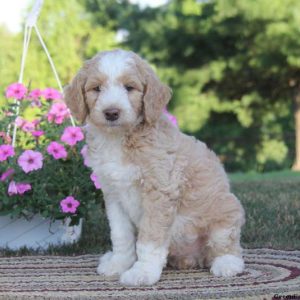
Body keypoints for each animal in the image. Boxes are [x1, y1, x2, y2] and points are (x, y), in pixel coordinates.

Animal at [64, 49, 245, 286]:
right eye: (96, 88)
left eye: (129, 87)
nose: (111, 112)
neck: (118, 139)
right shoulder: (113, 193)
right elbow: (120, 235)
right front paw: (119, 264)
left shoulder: (159, 192)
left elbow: (149, 239)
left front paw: (142, 272)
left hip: (226, 211)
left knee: (227, 245)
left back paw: (226, 264)